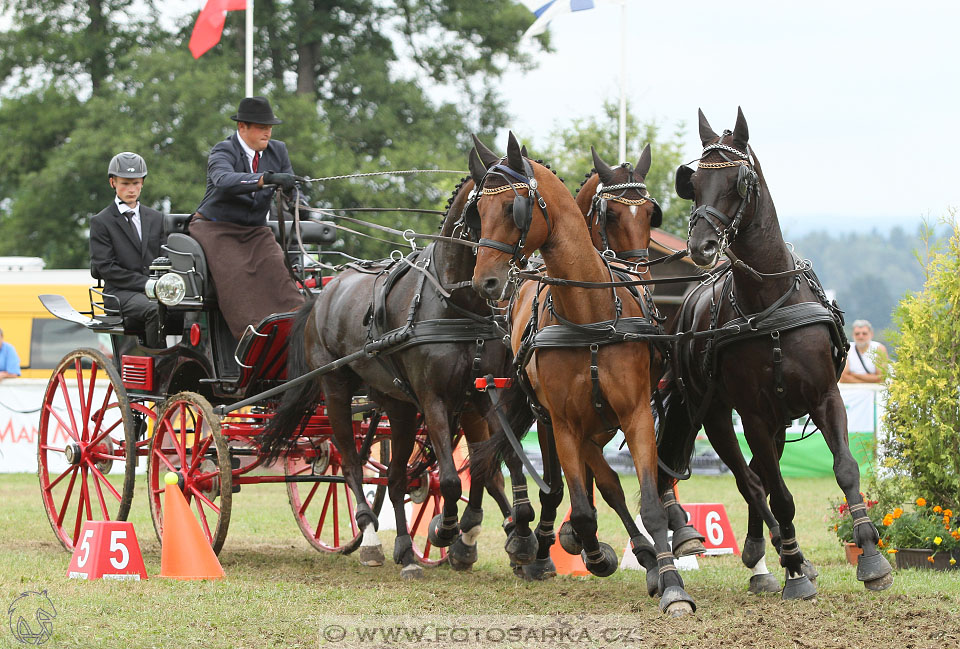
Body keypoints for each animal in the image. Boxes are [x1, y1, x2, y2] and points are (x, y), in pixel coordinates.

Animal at [260, 172, 532, 576]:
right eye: (484, 210)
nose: (495, 281)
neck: (454, 305)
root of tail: (323, 293)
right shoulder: (435, 400)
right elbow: (451, 478)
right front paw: (447, 530)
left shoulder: (483, 395)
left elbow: (499, 461)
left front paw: (518, 536)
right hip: (337, 389)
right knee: (351, 463)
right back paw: (371, 538)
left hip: (397, 405)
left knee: (396, 475)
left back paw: (406, 550)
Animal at [468, 130, 692, 612]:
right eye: (478, 211)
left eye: (513, 208)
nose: (485, 283)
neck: (590, 315)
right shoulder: (566, 423)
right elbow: (586, 506)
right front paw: (591, 551)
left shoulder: (636, 414)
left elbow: (648, 504)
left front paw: (672, 584)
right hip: (554, 419)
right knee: (574, 483)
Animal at [660, 107, 892, 596]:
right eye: (696, 182)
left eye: (738, 181)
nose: (701, 247)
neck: (770, 303)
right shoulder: (751, 414)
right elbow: (779, 493)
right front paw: (795, 568)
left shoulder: (825, 397)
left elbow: (846, 469)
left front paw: (871, 557)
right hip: (714, 414)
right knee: (750, 479)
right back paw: (784, 556)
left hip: (779, 418)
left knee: (758, 476)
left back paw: (762, 551)